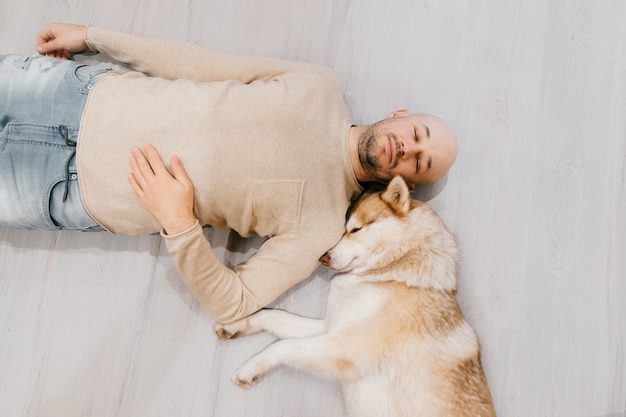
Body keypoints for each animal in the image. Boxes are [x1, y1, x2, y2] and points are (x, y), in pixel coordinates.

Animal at [212, 176, 494, 416]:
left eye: (355, 229)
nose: (323, 258)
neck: (389, 275)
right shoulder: (330, 327)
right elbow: (275, 316)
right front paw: (235, 326)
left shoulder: (340, 347)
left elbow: (283, 345)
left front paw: (249, 369)